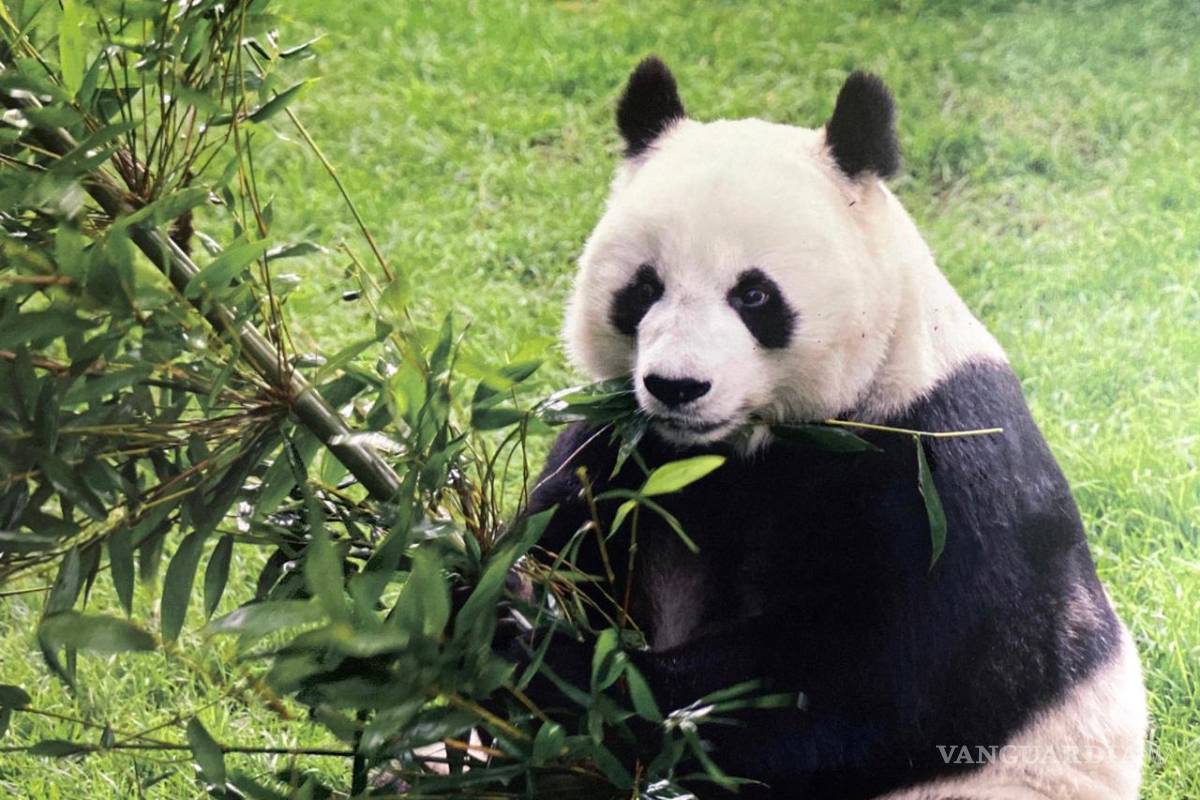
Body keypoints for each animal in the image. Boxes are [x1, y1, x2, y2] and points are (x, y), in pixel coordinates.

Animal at [522, 57, 1146, 799]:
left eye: (754, 295)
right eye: (644, 288)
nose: (678, 386)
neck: (740, 447)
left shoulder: (936, 480)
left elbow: (857, 697)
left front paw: (545, 653)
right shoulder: (628, 449)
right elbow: (562, 535)